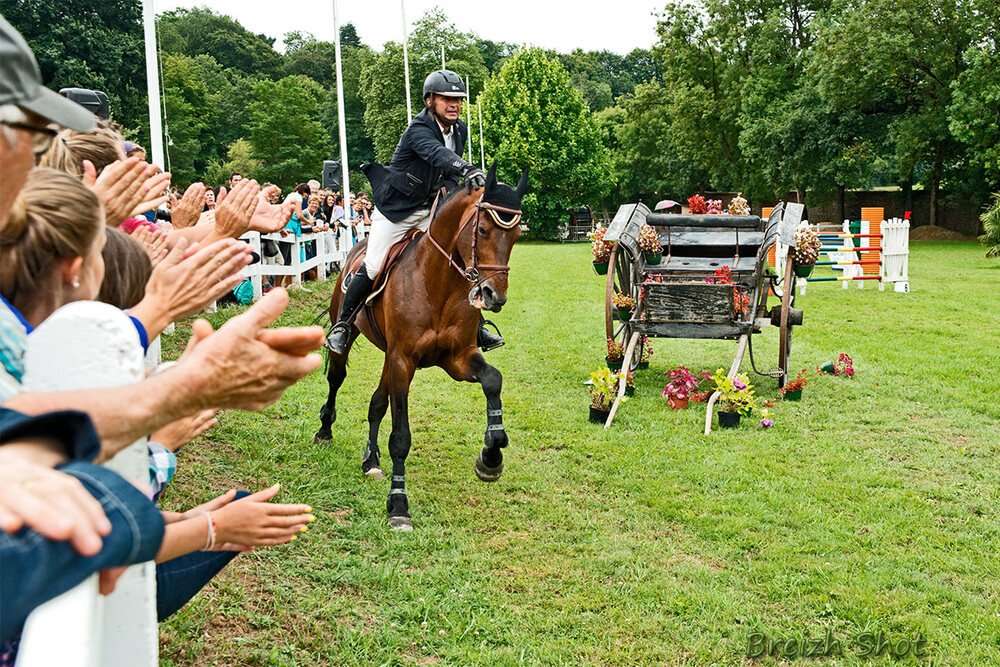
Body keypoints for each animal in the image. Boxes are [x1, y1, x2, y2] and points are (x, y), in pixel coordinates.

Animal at [316, 166, 528, 532]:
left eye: (515, 236)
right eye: (482, 230)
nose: (494, 297)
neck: (437, 282)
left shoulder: (457, 359)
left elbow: (493, 380)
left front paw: (491, 456)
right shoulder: (404, 361)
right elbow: (400, 437)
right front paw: (399, 505)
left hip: (389, 357)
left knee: (377, 403)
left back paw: (371, 460)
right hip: (358, 340)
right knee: (336, 379)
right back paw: (325, 430)